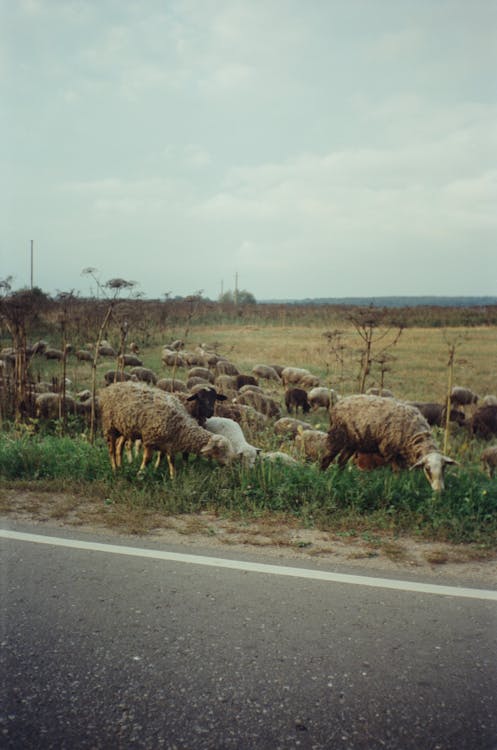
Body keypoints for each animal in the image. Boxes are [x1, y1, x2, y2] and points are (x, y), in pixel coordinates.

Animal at [99, 384, 236, 478]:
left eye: (215, 398)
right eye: (200, 397)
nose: (230, 466)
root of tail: (112, 387)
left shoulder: (169, 443)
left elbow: (171, 459)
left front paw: (172, 477)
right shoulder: (151, 439)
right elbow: (148, 459)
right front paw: (141, 474)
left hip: (124, 428)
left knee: (119, 446)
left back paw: (121, 465)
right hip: (110, 426)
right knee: (111, 448)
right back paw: (115, 469)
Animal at [320, 394, 456, 494]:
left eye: (444, 467)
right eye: (427, 469)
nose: (439, 491)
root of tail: (338, 403)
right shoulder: (390, 450)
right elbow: (397, 472)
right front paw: (397, 485)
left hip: (352, 442)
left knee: (341, 460)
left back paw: (340, 478)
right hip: (337, 435)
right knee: (326, 457)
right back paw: (321, 475)